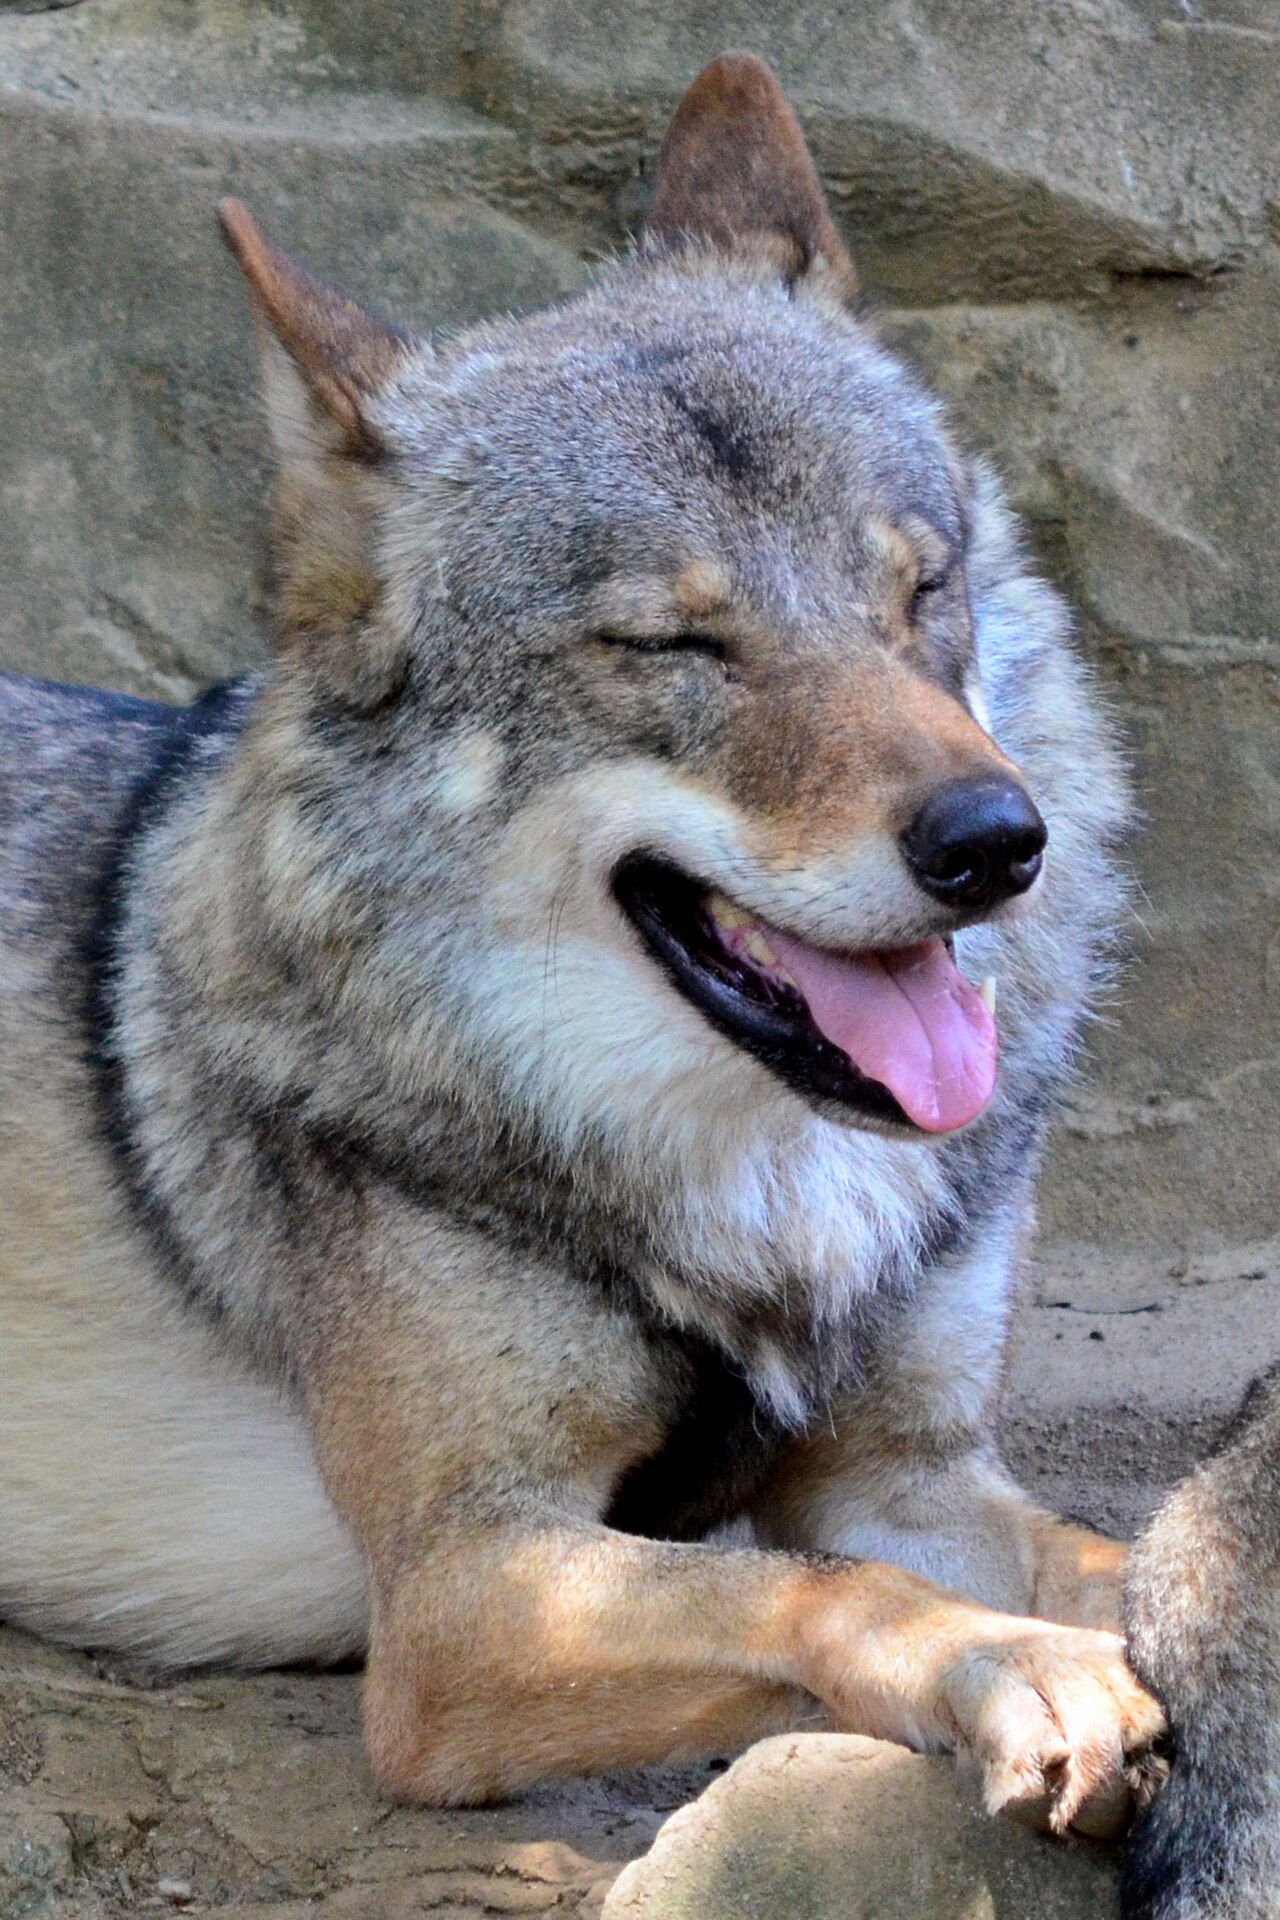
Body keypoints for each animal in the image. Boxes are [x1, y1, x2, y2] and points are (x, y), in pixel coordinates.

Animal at [0, 53, 1161, 1823]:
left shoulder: (907, 1470)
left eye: (918, 593)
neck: (758, 1193)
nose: (996, 845)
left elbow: (1117, 1554)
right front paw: (1018, 1672)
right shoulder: (461, 1593)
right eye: (675, 643)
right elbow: (817, 1589)